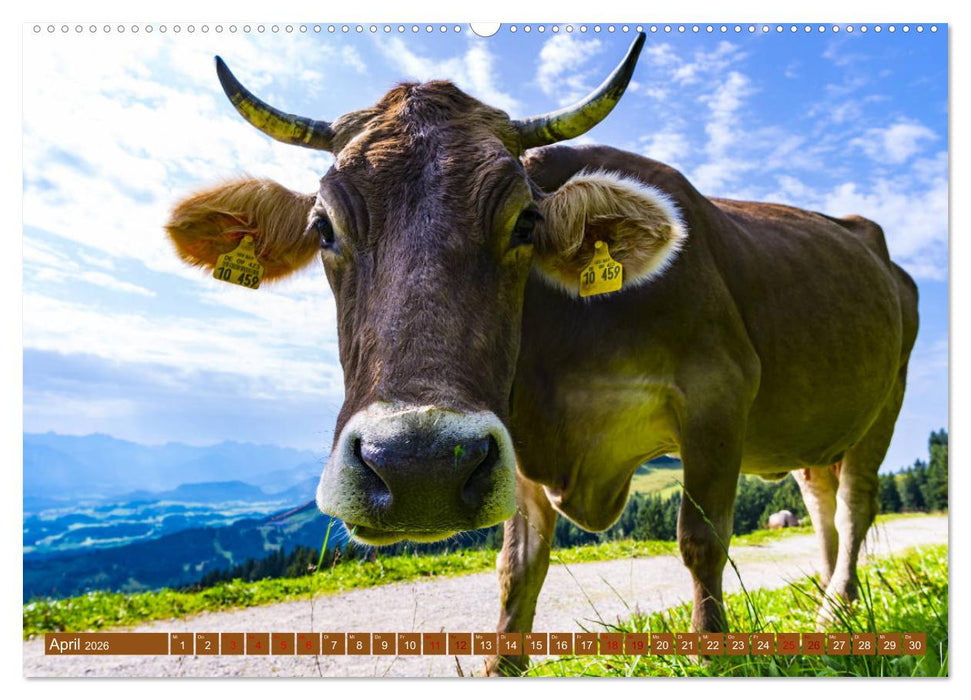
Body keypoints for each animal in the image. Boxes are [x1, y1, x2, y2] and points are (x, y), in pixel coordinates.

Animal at [165, 34, 919, 675]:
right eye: (323, 227)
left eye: (525, 222)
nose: (419, 467)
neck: (555, 372)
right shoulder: (513, 437)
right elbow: (518, 567)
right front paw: (503, 663)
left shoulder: (717, 392)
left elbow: (701, 538)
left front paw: (713, 656)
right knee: (820, 502)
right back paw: (825, 605)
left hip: (884, 408)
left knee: (853, 508)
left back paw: (835, 610)